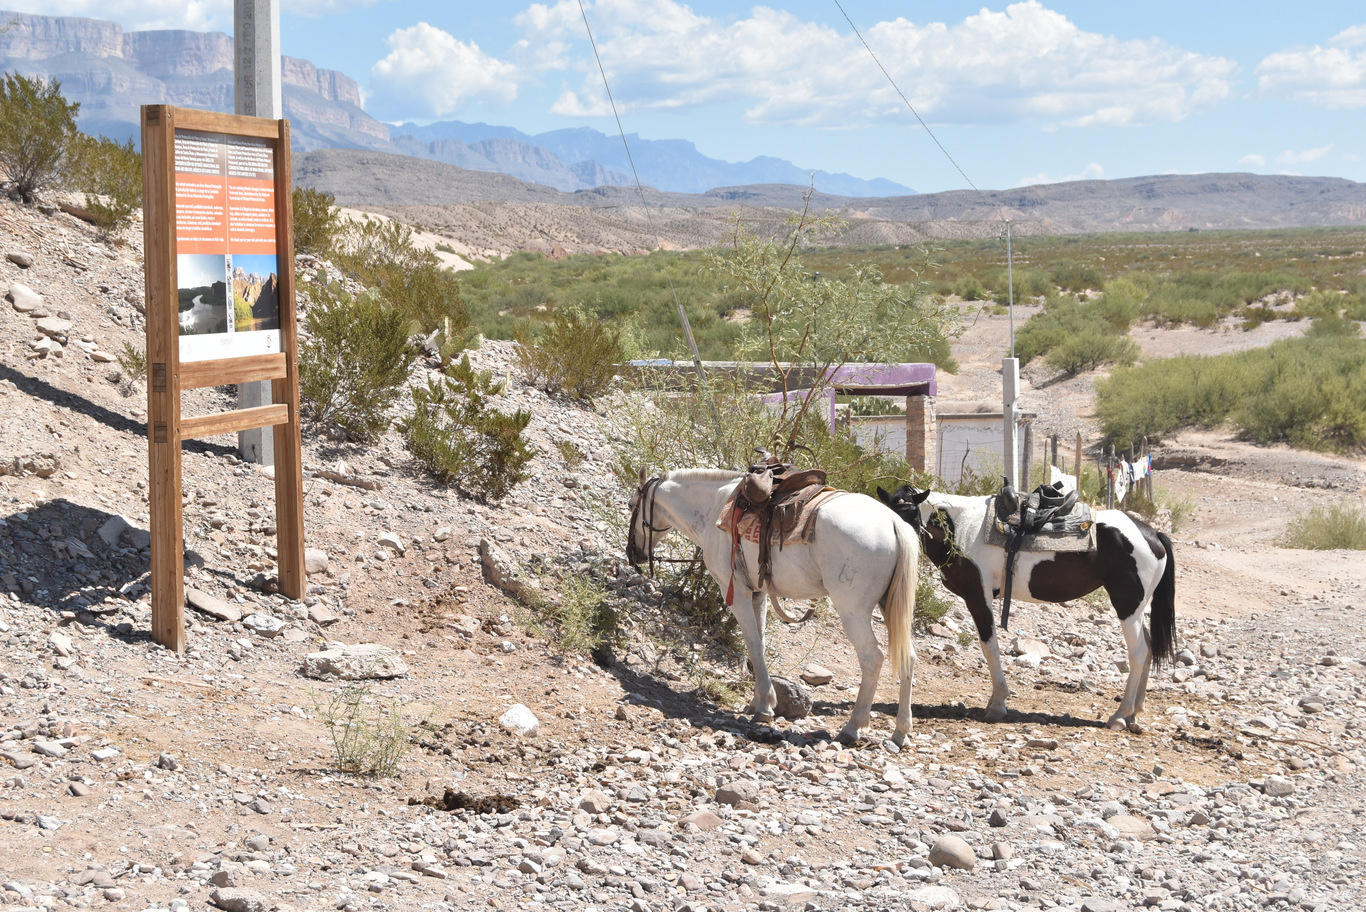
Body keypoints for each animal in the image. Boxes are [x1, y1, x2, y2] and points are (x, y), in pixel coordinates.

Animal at [628, 469, 917, 742]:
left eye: (632, 505)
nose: (634, 555)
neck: (715, 508)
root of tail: (894, 522)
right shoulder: (759, 594)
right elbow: (760, 645)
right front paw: (756, 701)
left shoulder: (736, 593)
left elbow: (753, 645)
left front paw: (765, 707)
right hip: (887, 606)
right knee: (908, 657)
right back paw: (900, 731)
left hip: (852, 611)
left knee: (872, 658)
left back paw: (852, 727)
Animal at [879, 483, 1180, 731]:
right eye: (889, 511)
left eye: (910, 512)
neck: (961, 527)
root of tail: (1153, 534)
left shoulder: (978, 596)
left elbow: (990, 647)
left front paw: (997, 704)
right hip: (1137, 609)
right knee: (1149, 647)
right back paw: (1134, 713)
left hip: (1127, 605)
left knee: (1139, 652)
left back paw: (1119, 715)